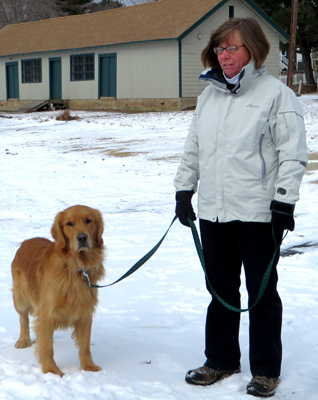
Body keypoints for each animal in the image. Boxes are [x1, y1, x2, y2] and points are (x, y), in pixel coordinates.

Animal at [11, 205, 105, 376]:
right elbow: (47, 348)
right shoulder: (47, 312)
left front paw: (89, 367)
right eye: (69, 223)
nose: (82, 237)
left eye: (88, 220)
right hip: (20, 297)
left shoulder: (85, 312)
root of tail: (26, 241)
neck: (75, 267)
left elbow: (85, 346)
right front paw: (51, 371)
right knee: (23, 318)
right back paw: (23, 340)